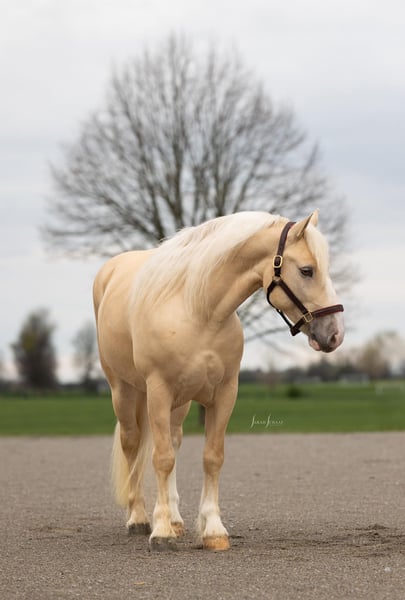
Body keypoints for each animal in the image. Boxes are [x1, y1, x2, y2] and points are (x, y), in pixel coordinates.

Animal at [93, 210, 344, 552]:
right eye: (307, 270)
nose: (334, 334)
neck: (198, 311)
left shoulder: (224, 394)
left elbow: (211, 457)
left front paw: (212, 530)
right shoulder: (158, 391)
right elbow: (161, 459)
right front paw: (161, 533)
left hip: (180, 403)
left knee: (173, 440)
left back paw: (175, 520)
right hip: (124, 391)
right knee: (132, 444)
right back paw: (139, 519)